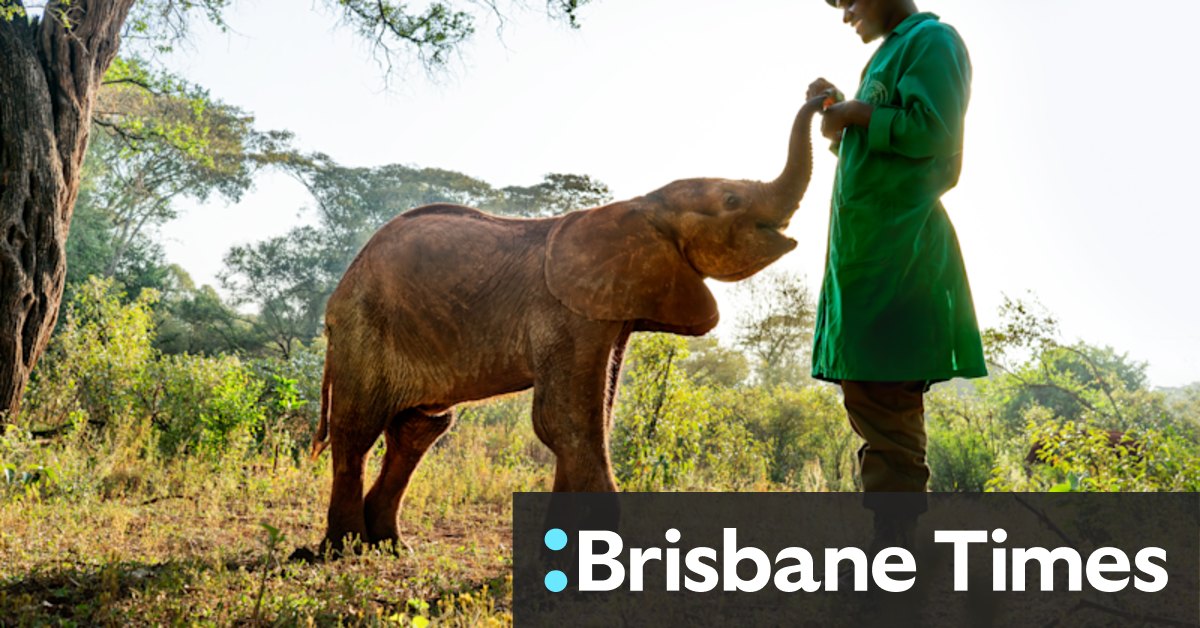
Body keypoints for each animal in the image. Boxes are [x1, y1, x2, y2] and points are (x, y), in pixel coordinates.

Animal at [307, 94, 828, 553]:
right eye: (732, 198)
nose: (823, 94)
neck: (642, 205)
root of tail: (340, 290)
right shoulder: (565, 312)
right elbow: (563, 419)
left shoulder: (610, 313)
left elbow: (591, 414)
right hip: (363, 326)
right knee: (357, 429)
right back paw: (341, 550)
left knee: (419, 427)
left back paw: (390, 547)